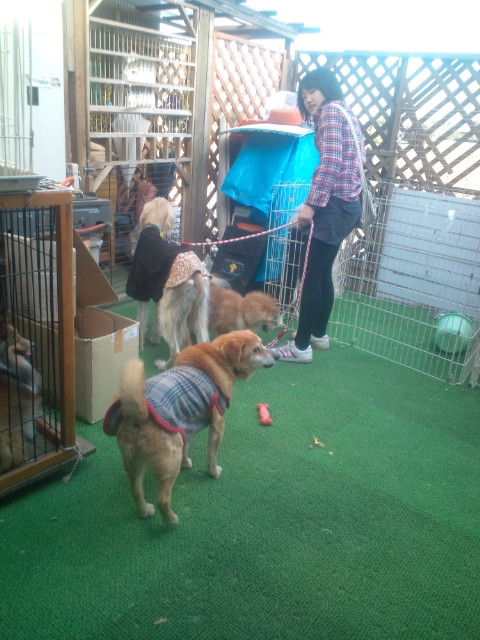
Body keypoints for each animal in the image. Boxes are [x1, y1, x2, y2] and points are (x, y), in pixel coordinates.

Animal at [103, 330, 279, 523]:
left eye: (262, 344)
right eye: (256, 349)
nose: (278, 355)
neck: (219, 358)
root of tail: (138, 414)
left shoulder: (185, 423)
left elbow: (187, 446)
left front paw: (186, 463)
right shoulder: (218, 425)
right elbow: (212, 456)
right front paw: (213, 473)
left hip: (135, 461)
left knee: (135, 488)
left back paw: (144, 510)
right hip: (169, 459)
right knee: (162, 498)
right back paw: (171, 520)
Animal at [126, 197, 211, 367]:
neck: (152, 229)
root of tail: (197, 273)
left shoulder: (141, 293)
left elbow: (141, 321)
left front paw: (140, 345)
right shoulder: (158, 294)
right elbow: (155, 321)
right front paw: (155, 337)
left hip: (169, 311)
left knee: (175, 350)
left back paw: (163, 365)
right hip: (197, 310)